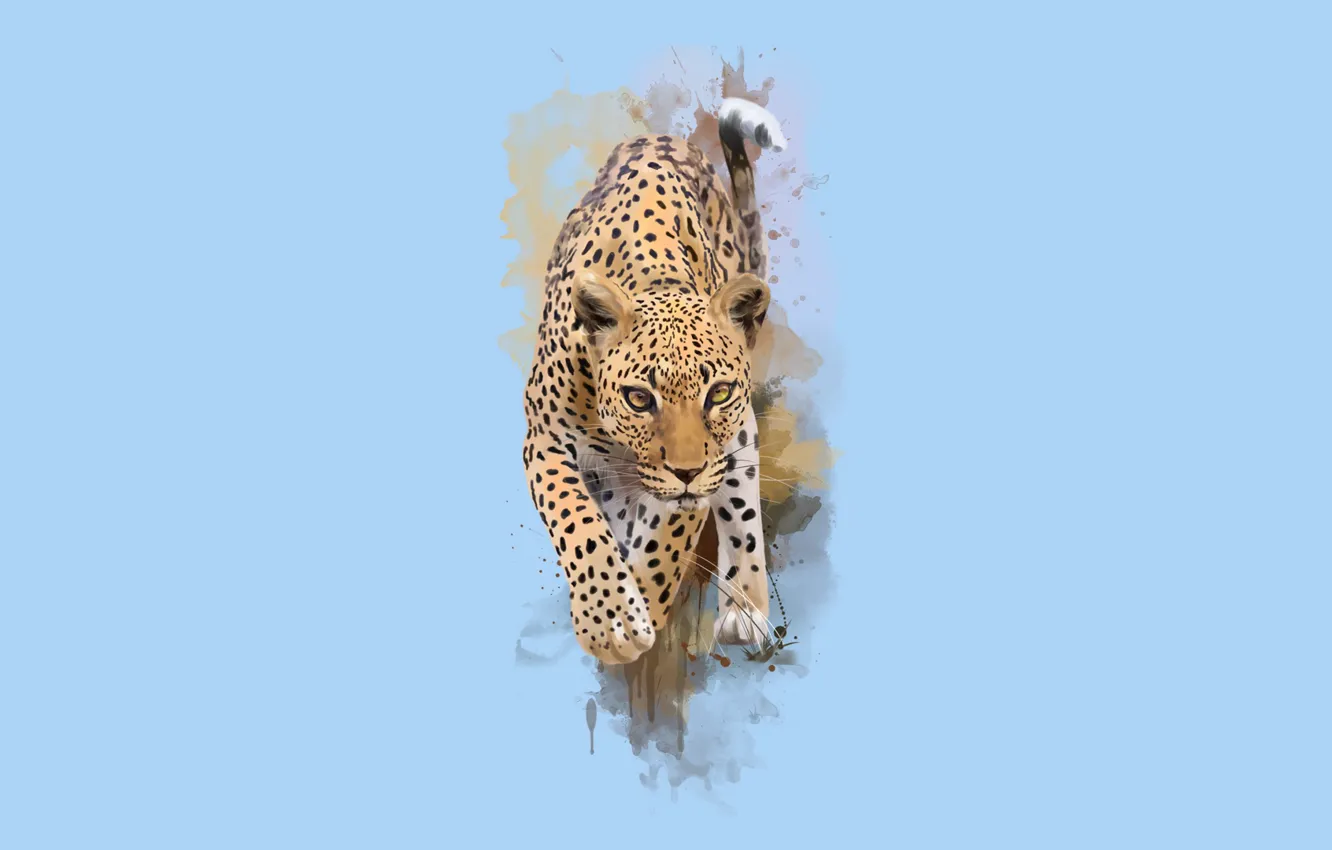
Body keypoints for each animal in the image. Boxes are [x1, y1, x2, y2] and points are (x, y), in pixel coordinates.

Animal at [521, 98, 788, 665]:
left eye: (718, 393)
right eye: (640, 398)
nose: (686, 471)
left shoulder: (703, 468)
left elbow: (667, 541)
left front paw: (633, 609)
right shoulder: (544, 437)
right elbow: (575, 517)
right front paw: (611, 619)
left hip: (738, 443)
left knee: (741, 504)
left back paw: (744, 608)